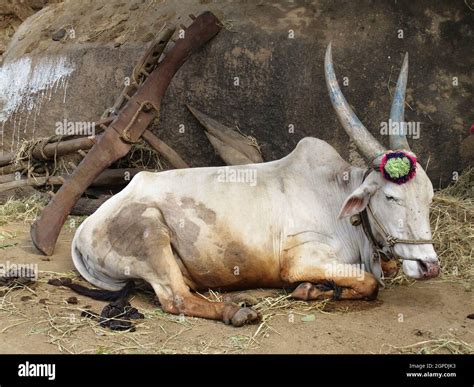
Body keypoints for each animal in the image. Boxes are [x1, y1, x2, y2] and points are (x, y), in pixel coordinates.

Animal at [71, 45, 440, 328]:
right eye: (390, 196)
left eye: (429, 198)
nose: (429, 266)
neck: (337, 199)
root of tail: (85, 229)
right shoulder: (302, 260)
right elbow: (370, 282)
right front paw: (309, 290)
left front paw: (317, 289)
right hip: (151, 233)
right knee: (176, 299)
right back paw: (237, 312)